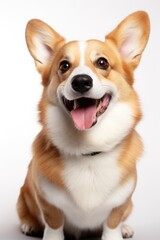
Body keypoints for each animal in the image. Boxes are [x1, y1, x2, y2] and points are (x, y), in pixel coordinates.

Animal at [17, 10, 150, 239]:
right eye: (64, 66)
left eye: (102, 63)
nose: (80, 81)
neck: (88, 150)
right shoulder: (47, 202)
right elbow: (53, 223)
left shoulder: (121, 201)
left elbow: (113, 222)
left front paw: (116, 233)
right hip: (24, 194)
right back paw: (29, 225)